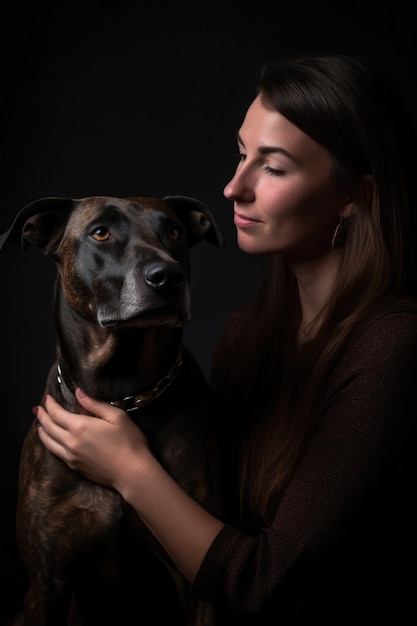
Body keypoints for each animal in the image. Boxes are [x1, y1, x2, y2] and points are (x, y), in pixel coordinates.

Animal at [0, 195, 224, 624]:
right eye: (100, 232)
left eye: (174, 231)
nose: (168, 276)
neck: (122, 395)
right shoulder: (47, 580)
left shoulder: (198, 581)